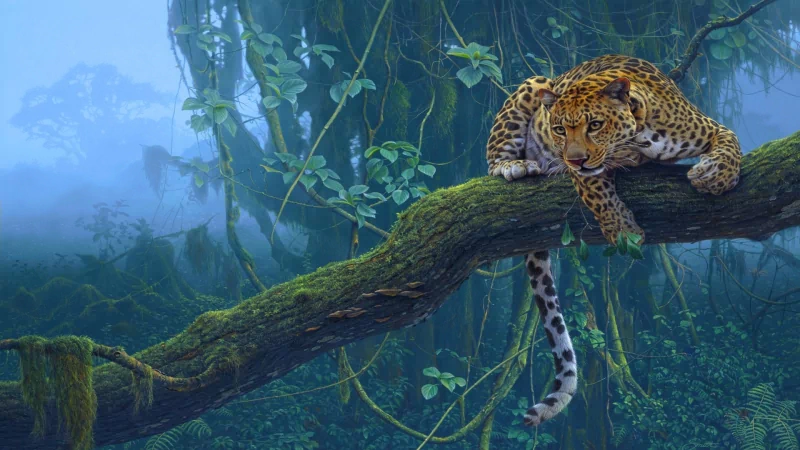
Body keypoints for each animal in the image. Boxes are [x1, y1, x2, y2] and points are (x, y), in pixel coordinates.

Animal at [486, 54, 741, 426]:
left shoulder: (708, 127)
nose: (574, 158)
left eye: (594, 124)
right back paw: (515, 166)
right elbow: (596, 190)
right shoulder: (584, 173)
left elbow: (730, 142)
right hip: (533, 84)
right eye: (559, 129)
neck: (640, 136)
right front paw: (623, 229)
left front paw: (715, 176)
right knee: (493, 161)